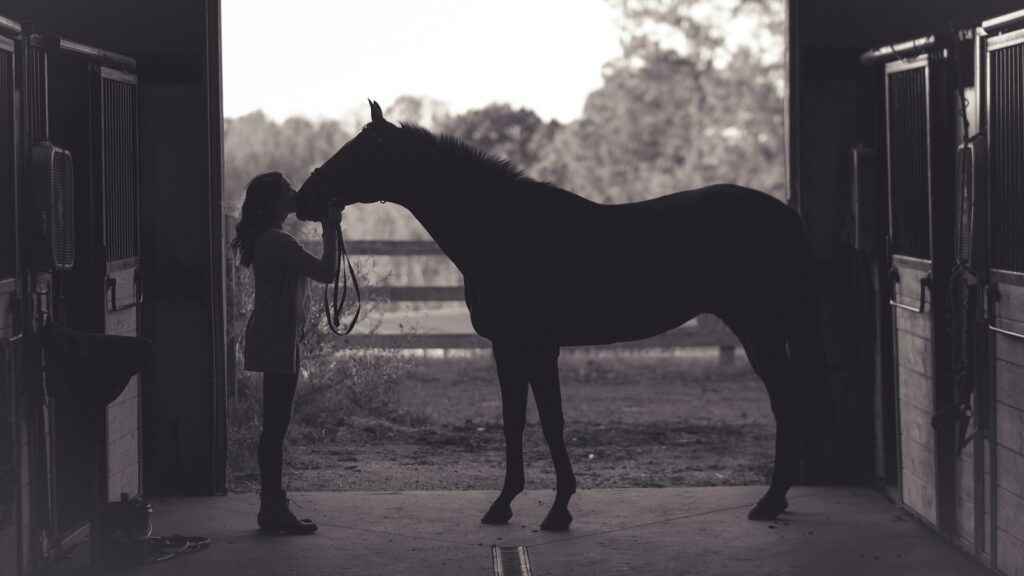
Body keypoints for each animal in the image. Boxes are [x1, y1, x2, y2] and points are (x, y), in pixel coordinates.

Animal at [295, 100, 832, 531]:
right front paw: (503, 506)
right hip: (753, 329)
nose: (304, 199)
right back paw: (775, 499)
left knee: (787, 401)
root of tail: (785, 215)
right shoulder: (506, 347)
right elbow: (514, 422)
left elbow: (551, 422)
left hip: (762, 328)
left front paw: (558, 511)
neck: (504, 231)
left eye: (357, 153)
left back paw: (770, 502)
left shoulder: (538, 346)